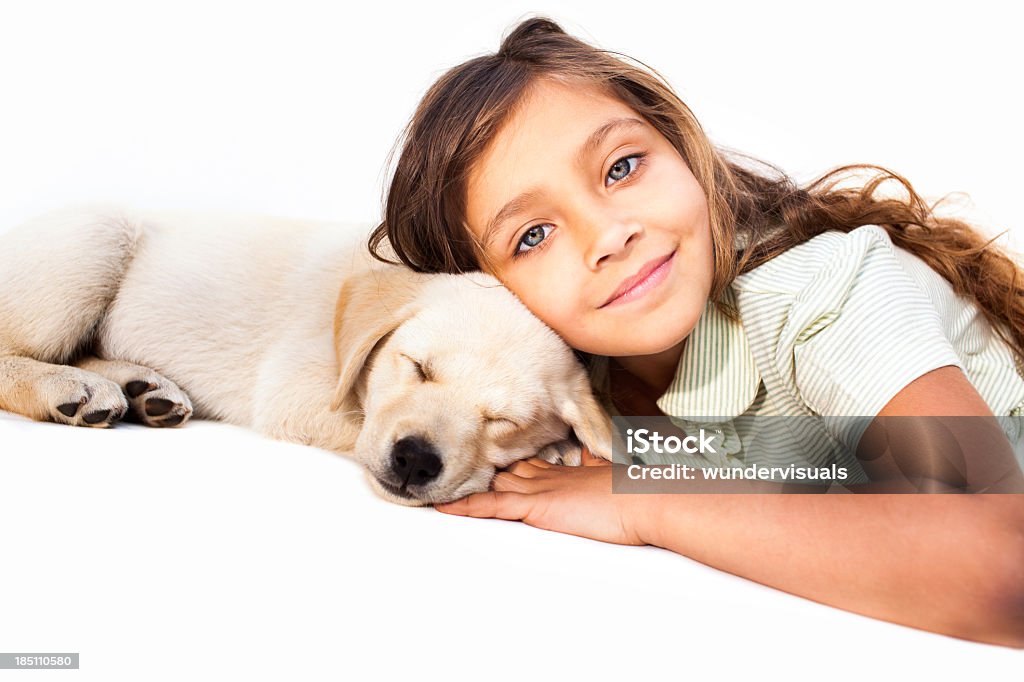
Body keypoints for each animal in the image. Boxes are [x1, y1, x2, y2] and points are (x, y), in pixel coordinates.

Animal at [0, 201, 610, 499]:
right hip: (96, 235)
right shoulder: (296, 390)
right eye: (416, 367)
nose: (414, 460)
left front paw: (559, 446)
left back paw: (140, 387)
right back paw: (72, 389)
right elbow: (359, 423)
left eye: (500, 421)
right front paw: (553, 450)